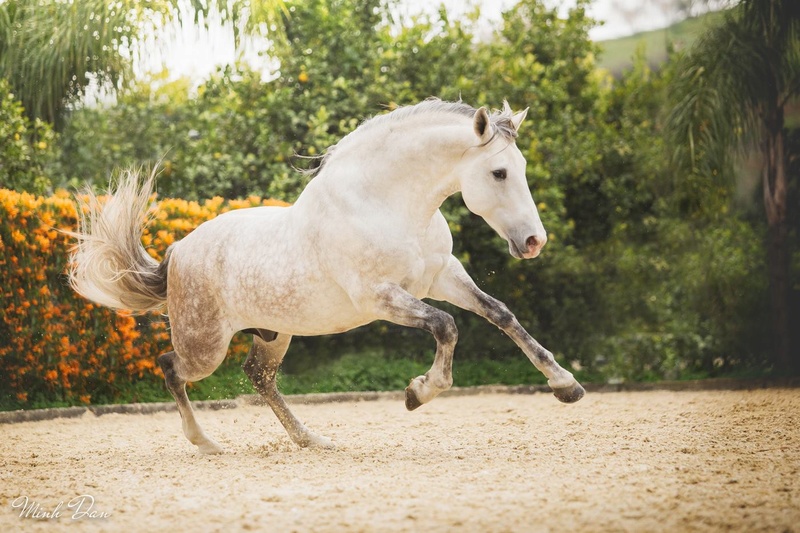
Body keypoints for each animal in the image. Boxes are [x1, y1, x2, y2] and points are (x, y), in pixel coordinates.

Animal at [69, 98, 584, 454]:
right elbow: (446, 325)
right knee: (171, 366)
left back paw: (311, 440)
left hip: (273, 333)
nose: (534, 242)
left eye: (520, 168)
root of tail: (177, 252)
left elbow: (502, 315)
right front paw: (418, 393)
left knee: (259, 377)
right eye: (498, 172)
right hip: (205, 346)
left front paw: (566, 385)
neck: (386, 202)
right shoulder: (380, 297)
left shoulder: (442, 277)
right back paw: (206, 443)